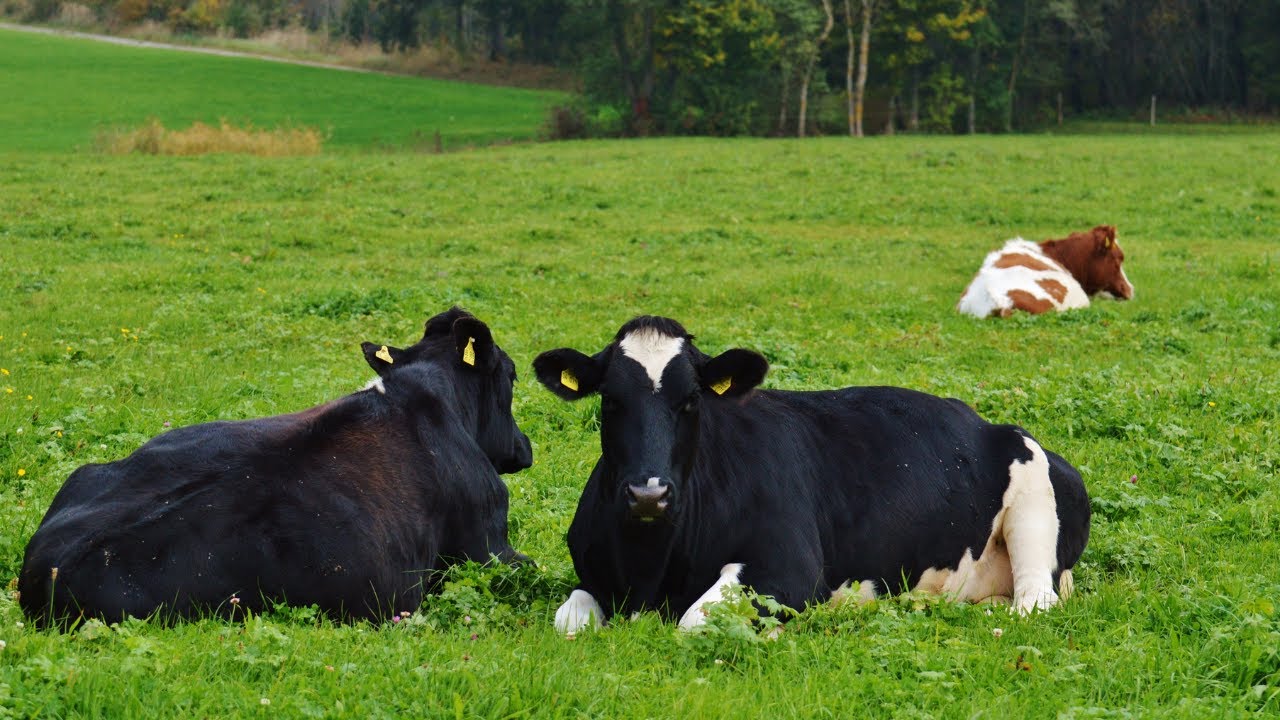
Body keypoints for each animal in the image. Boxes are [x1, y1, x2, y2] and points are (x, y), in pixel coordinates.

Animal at [533, 317, 1090, 633]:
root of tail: (988, 423)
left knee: (1033, 603)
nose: (648, 494)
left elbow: (695, 621)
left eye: (691, 400)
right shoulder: (593, 576)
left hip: (1034, 508)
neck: (650, 570)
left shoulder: (789, 569)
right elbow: (568, 620)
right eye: (611, 399)